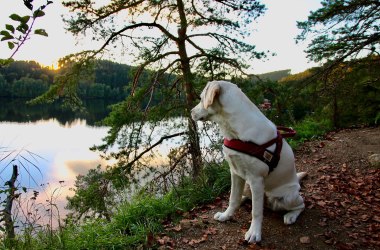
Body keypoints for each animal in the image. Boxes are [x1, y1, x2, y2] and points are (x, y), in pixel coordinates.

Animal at [191, 81, 308, 243]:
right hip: (248, 185)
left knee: (301, 204)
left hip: (288, 197)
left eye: (202, 98)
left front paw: (254, 233)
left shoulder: (256, 179)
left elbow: (256, 212)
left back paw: (291, 215)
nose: (190, 112)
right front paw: (226, 215)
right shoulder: (235, 172)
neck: (234, 130)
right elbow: (233, 198)